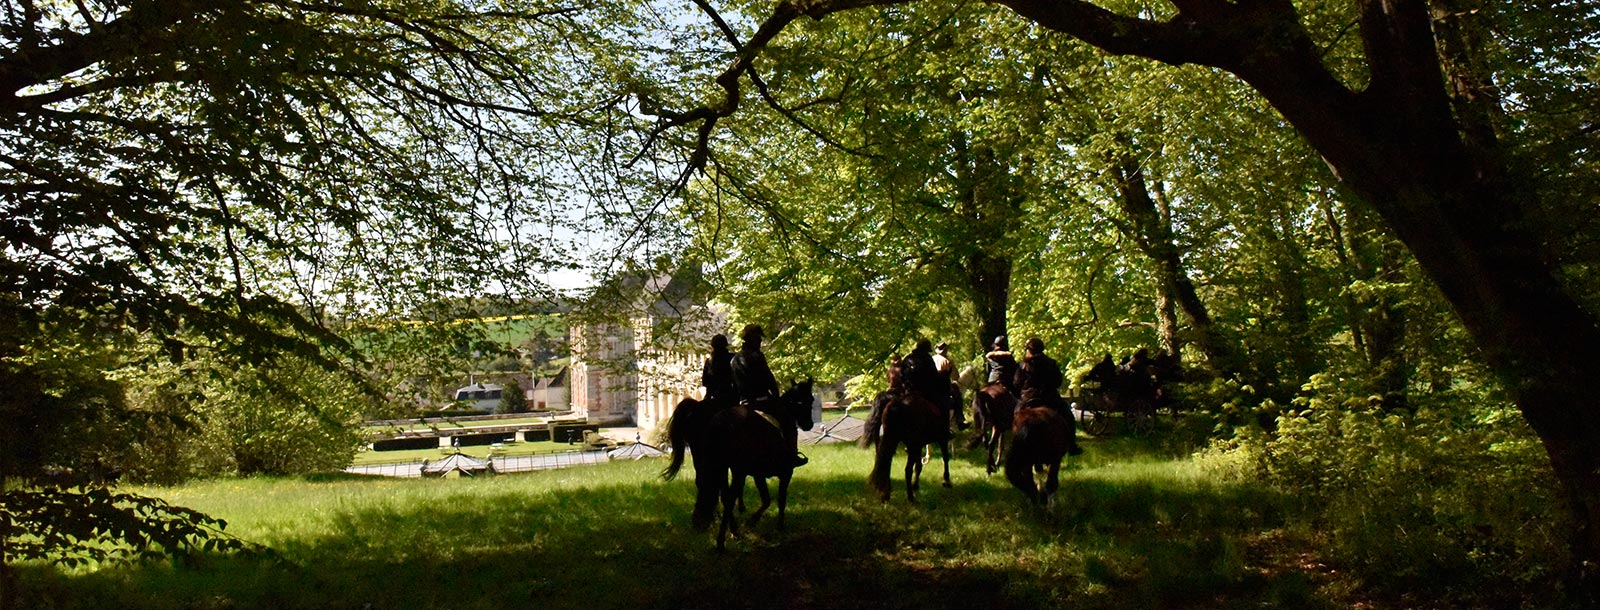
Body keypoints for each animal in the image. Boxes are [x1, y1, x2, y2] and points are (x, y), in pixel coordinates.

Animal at [662, 377, 812, 547]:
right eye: (809, 400)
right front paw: (776, 525)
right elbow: (779, 499)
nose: (809, 424)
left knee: (709, 487)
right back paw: (726, 530)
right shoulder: (784, 472)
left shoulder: (751, 472)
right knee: (725, 494)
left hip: (709, 462)